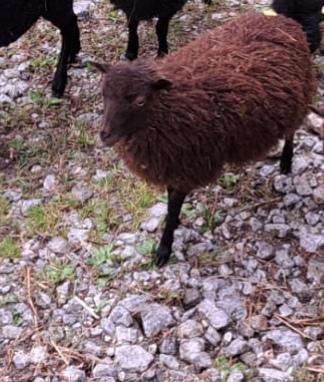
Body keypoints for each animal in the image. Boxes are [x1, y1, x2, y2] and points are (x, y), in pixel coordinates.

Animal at [93, 12, 316, 268]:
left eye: (140, 101)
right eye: (103, 94)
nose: (105, 134)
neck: (169, 106)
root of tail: (284, 21)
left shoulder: (188, 164)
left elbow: (173, 205)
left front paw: (164, 248)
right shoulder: (173, 162)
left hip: (298, 99)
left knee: (291, 133)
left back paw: (286, 163)